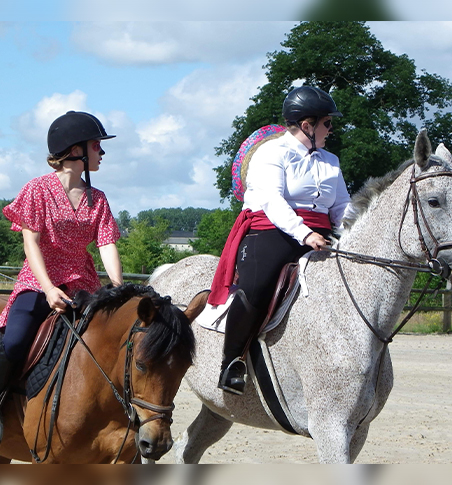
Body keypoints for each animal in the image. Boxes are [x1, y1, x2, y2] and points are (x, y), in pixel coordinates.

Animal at [150, 130, 452, 464]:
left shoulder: (358, 431)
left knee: (186, 448)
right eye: (434, 201)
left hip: (220, 408)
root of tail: (168, 272)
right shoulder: (330, 429)